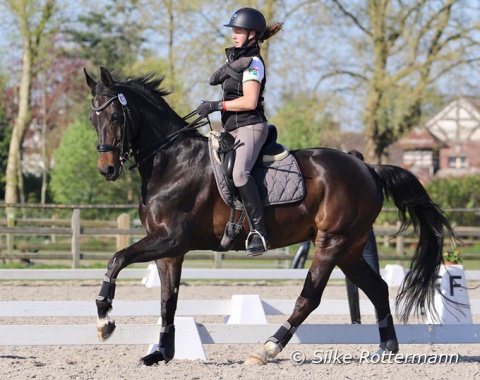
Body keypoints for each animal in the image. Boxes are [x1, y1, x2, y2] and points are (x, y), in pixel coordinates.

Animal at [84, 67, 456, 366]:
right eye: (92, 120)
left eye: (115, 117)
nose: (106, 170)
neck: (171, 161)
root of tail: (368, 168)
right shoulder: (170, 251)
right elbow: (167, 301)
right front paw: (161, 352)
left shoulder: (170, 239)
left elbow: (116, 259)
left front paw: (105, 321)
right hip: (349, 248)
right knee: (377, 288)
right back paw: (386, 348)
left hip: (331, 242)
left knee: (310, 298)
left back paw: (267, 349)